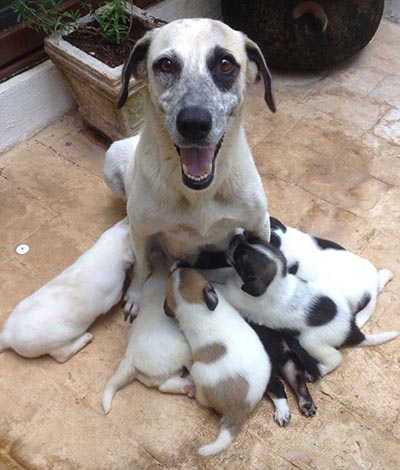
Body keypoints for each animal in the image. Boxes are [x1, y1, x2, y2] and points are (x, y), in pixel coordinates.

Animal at [0, 218, 134, 362]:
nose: (127, 221)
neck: (104, 251)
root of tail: (8, 335)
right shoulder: (113, 296)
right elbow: (119, 295)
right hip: (57, 343)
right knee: (62, 356)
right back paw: (85, 338)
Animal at [101, 252, 192, 414]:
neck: (160, 270)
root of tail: (130, 360)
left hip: (161, 374)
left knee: (165, 386)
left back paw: (189, 387)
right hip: (182, 352)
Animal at [112, 18, 276, 320]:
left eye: (225, 63)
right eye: (166, 64)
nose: (194, 123)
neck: (199, 194)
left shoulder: (259, 224)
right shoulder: (141, 232)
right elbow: (141, 267)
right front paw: (136, 295)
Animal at [164, 266, 270, 458]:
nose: (178, 265)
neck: (193, 302)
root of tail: (237, 412)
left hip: (198, 370)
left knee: (201, 399)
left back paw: (191, 389)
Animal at [217, 233, 398, 376]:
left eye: (240, 256)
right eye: (251, 239)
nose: (235, 236)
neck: (276, 283)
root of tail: (352, 329)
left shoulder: (235, 296)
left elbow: (221, 288)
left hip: (311, 342)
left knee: (335, 359)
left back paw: (321, 370)